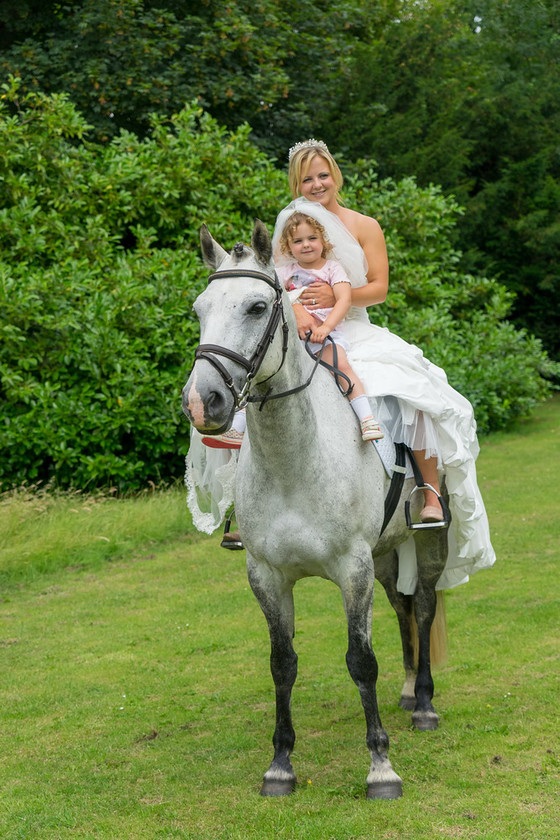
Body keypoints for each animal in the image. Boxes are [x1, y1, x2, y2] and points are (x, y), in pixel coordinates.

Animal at [184, 220, 450, 796]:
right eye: (199, 310)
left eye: (257, 307)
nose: (202, 401)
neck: (294, 463)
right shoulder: (266, 575)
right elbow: (282, 663)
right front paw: (280, 765)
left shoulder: (352, 568)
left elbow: (361, 660)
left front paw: (380, 768)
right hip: (386, 554)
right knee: (401, 606)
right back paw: (407, 691)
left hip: (428, 541)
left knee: (422, 606)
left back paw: (423, 704)